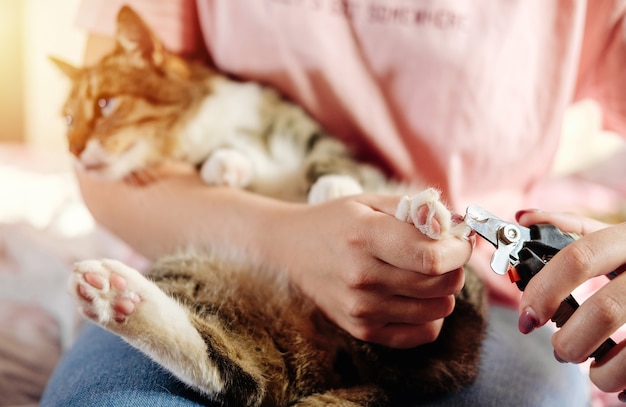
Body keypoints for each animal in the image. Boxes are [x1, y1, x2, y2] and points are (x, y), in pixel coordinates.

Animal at [53, 6, 486, 407]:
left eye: (106, 104)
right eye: (69, 120)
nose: (72, 150)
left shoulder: (304, 128)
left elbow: (327, 156)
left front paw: (334, 187)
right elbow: (223, 159)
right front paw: (226, 165)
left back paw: (422, 218)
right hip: (195, 268)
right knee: (244, 374)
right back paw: (114, 295)